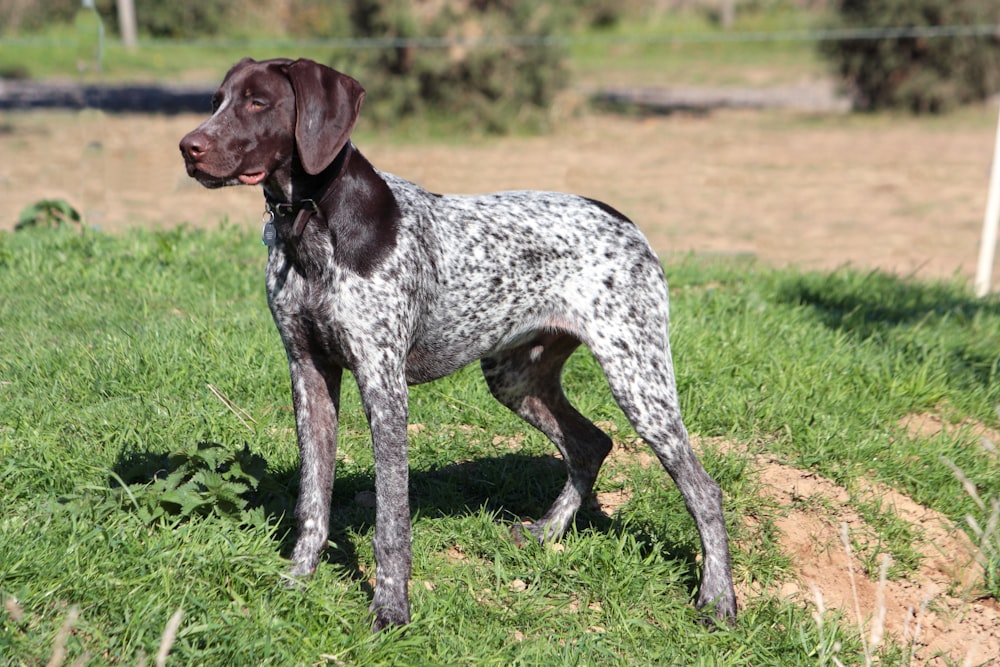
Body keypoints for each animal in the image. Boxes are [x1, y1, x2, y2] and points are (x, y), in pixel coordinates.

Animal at [180, 56, 736, 632]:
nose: (187, 147)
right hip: (516, 378)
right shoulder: (308, 372)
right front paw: (295, 581)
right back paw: (545, 532)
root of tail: (627, 222)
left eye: (258, 103)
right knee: (590, 444)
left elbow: (391, 520)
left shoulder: (384, 385)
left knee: (703, 490)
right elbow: (313, 501)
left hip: (638, 380)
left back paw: (717, 597)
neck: (312, 223)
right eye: (217, 101)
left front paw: (391, 609)